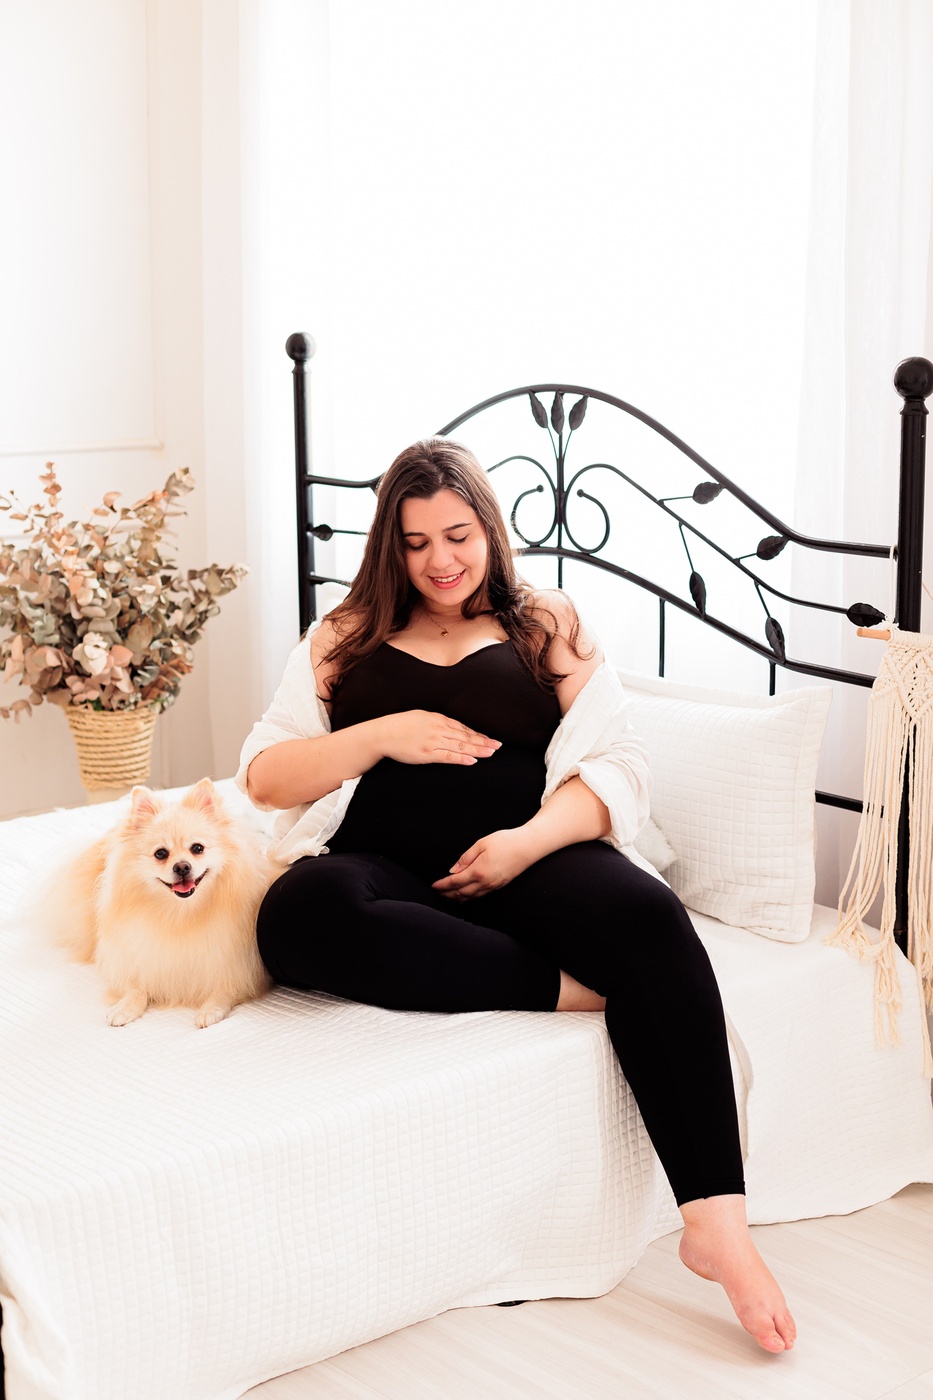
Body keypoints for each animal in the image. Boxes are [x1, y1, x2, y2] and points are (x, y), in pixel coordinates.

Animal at [42, 778, 282, 1027]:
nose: (182, 866)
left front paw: (211, 1009)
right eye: (160, 853)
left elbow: (226, 989)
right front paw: (125, 1006)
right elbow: (136, 985)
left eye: (197, 848)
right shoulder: (140, 956)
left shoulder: (238, 967)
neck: (181, 914)